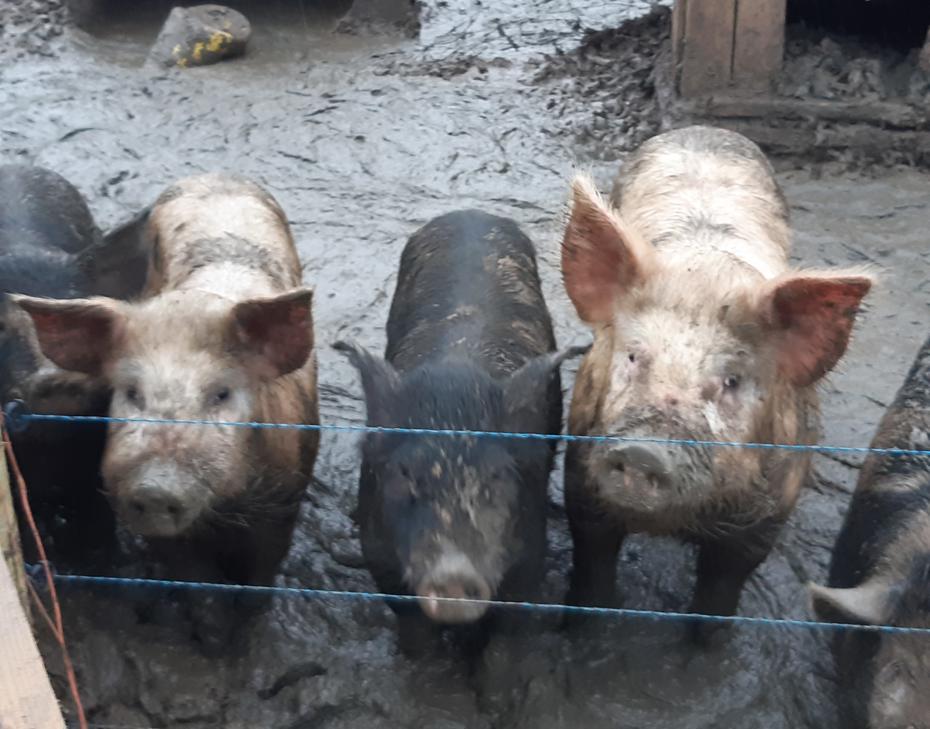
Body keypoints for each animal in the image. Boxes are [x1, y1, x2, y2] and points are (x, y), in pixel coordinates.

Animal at [15, 173, 319, 648]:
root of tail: (214, 174)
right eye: (131, 391)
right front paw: (213, 641)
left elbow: (261, 573)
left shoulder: (285, 500)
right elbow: (194, 579)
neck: (225, 508)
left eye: (221, 394)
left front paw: (246, 634)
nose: (156, 488)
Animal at [335, 210, 583, 657]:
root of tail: (471, 213)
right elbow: (413, 630)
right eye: (404, 476)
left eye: (497, 477)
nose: (453, 577)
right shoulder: (380, 557)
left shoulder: (529, 553)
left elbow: (504, 636)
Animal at [560, 125, 872, 636]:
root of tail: (701, 130)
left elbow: (723, 588)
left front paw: (708, 641)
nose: (644, 450)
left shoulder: (766, 516)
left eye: (731, 380)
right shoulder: (581, 476)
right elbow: (592, 562)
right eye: (633, 355)